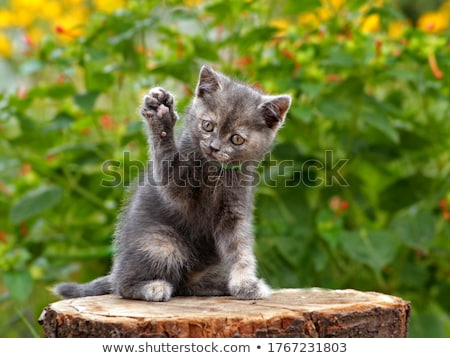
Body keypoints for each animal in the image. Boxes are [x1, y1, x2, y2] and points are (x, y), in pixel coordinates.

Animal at [53, 65, 292, 300]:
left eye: (236, 139)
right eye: (208, 126)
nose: (214, 147)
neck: (214, 171)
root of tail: (117, 269)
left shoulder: (235, 209)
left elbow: (240, 248)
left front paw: (245, 284)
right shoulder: (177, 188)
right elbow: (167, 166)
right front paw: (162, 120)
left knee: (184, 284)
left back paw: (215, 285)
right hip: (161, 243)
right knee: (123, 286)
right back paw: (152, 287)